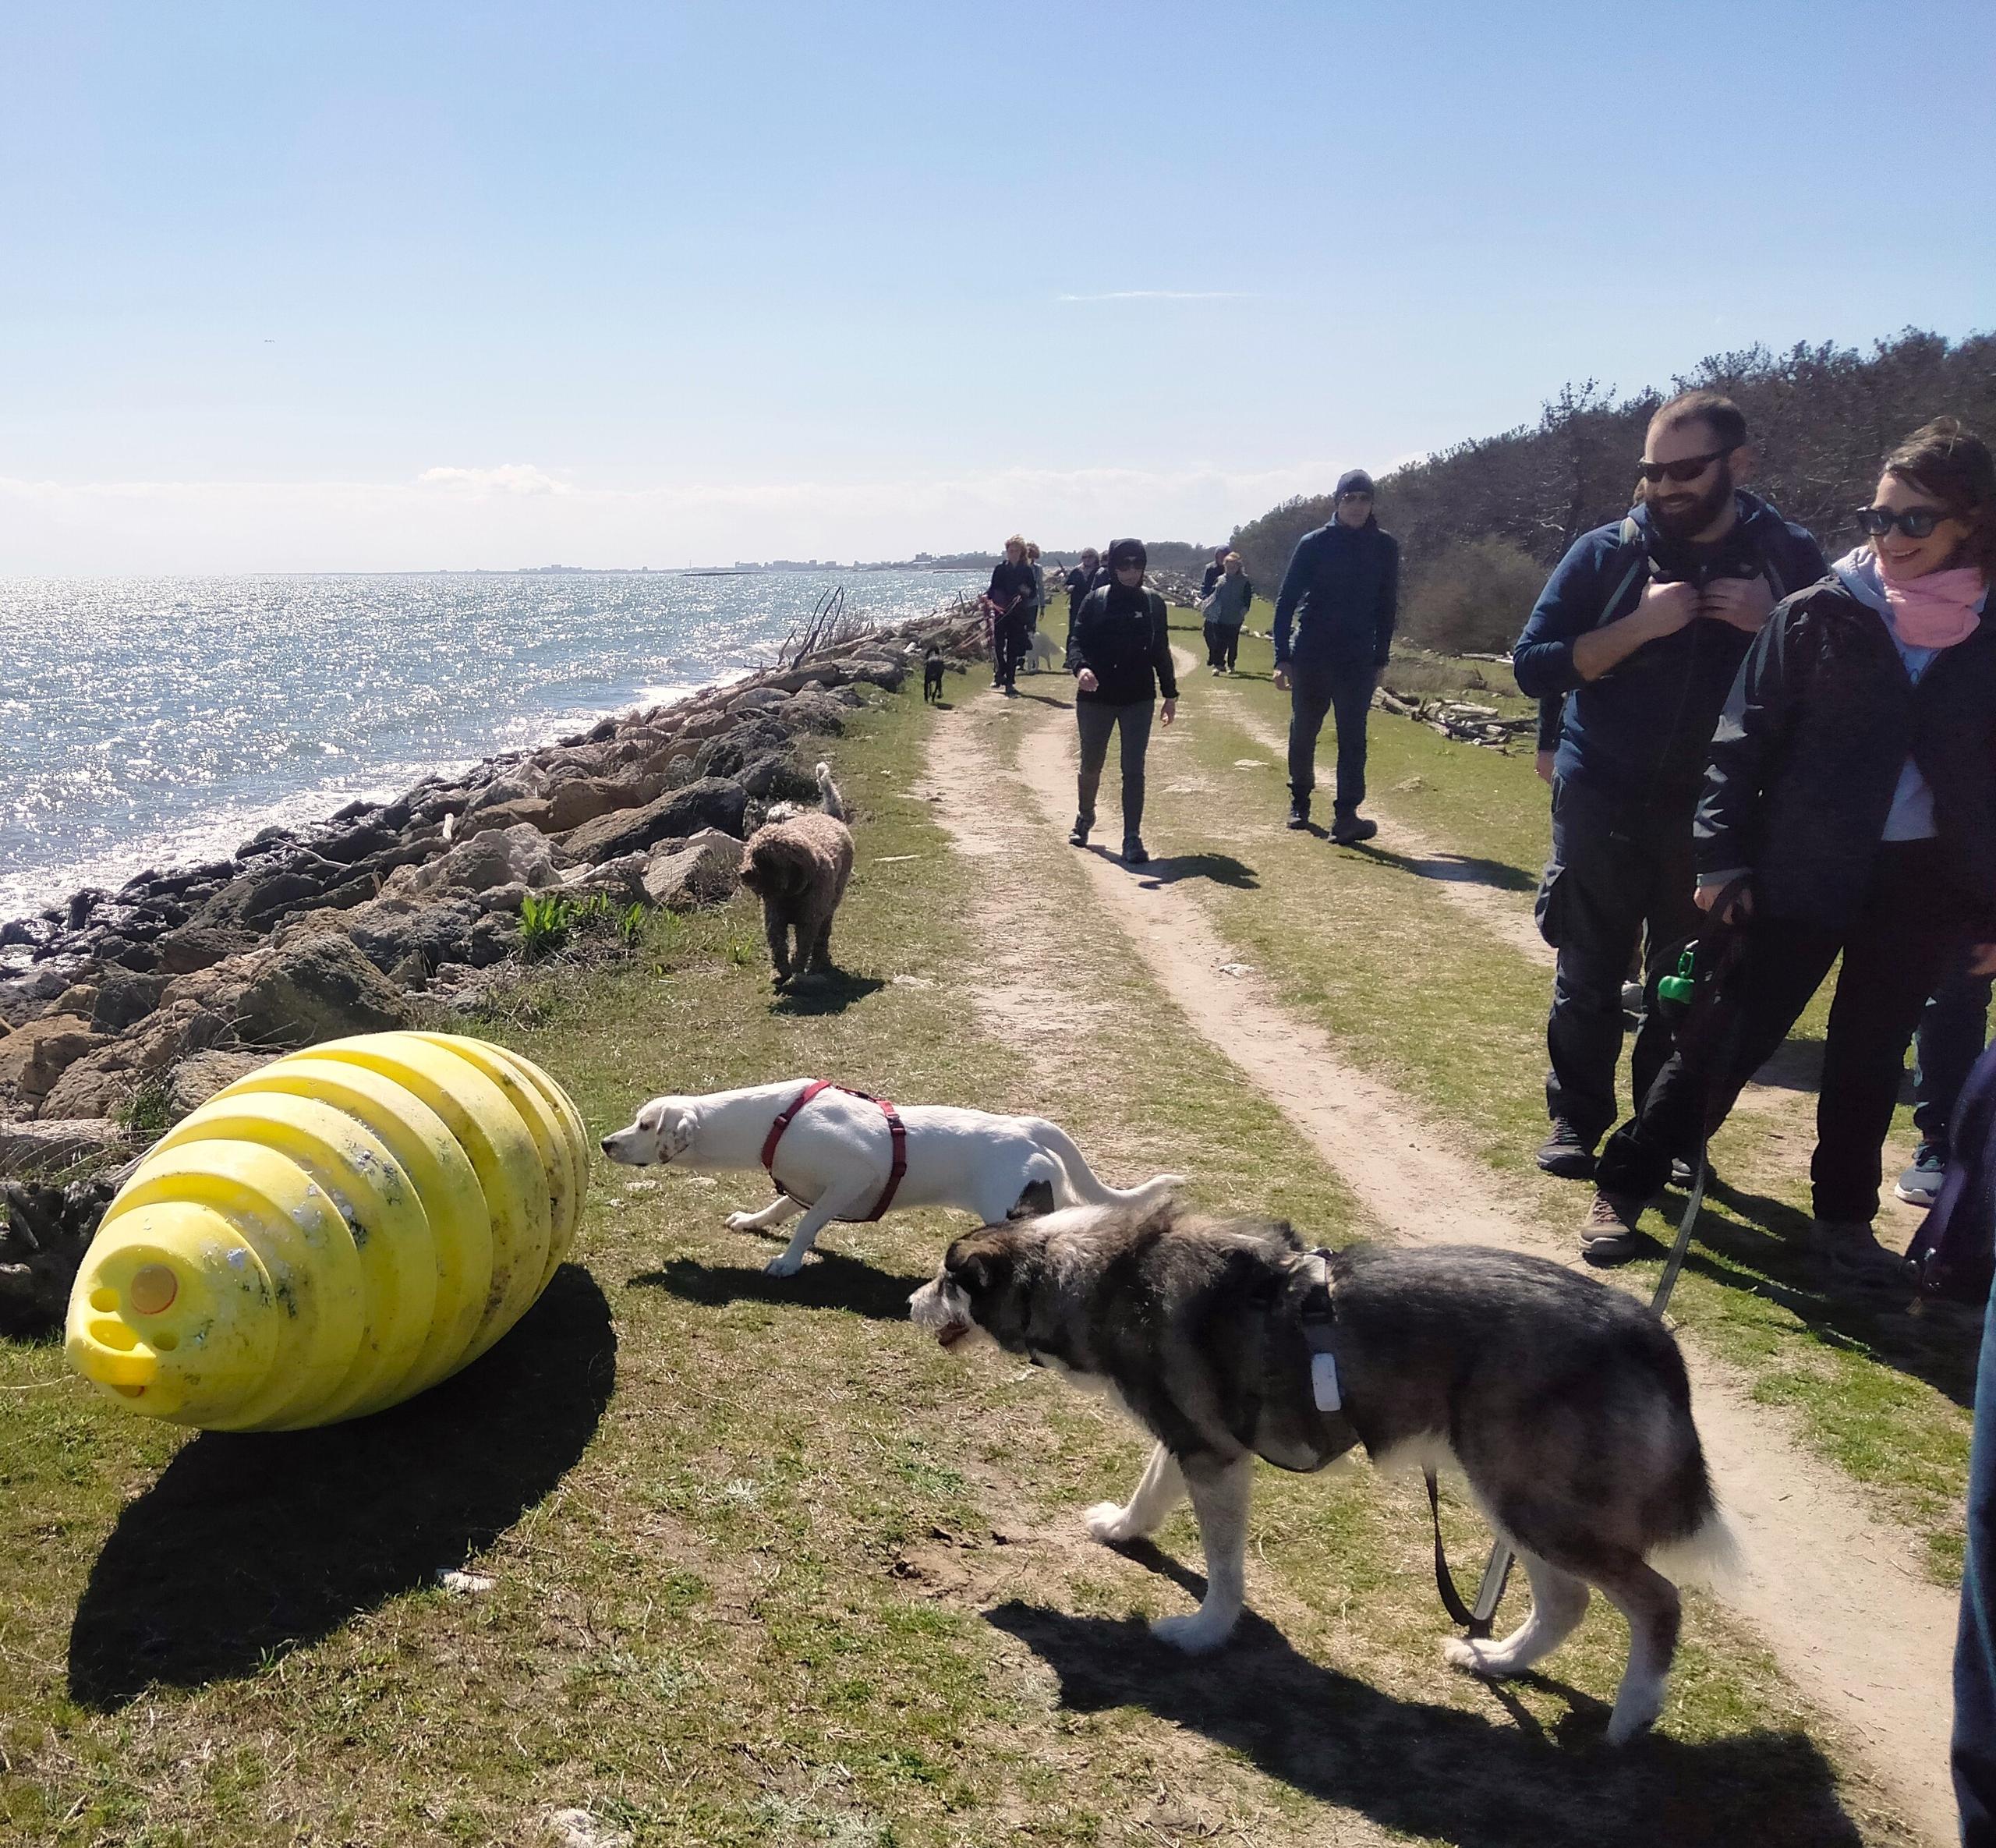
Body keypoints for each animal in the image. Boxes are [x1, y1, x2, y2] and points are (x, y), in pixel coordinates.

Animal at [599, 1085, 1173, 1277]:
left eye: (646, 1126)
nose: (606, 1143)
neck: (771, 1121)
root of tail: (1026, 1127)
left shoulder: (852, 1176)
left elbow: (807, 1224)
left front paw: (787, 1263)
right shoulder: (806, 1183)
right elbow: (783, 1207)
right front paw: (753, 1222)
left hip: (1012, 1213)